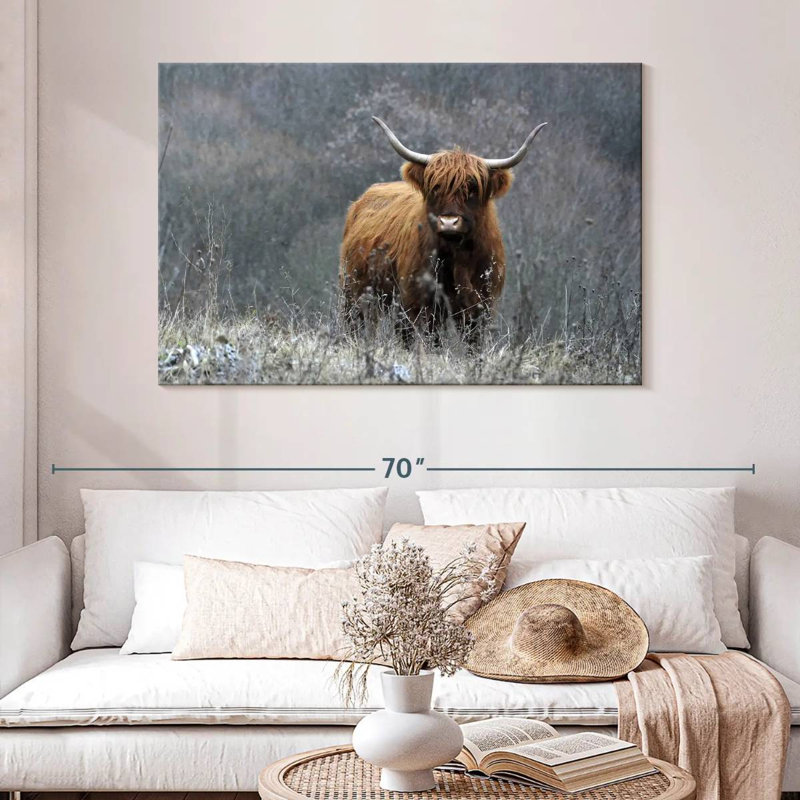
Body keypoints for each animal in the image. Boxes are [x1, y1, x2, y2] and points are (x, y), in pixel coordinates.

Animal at [339, 116, 547, 343]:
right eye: (436, 188)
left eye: (472, 189)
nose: (449, 222)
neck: (457, 258)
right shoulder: (417, 302)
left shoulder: (480, 306)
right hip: (354, 293)